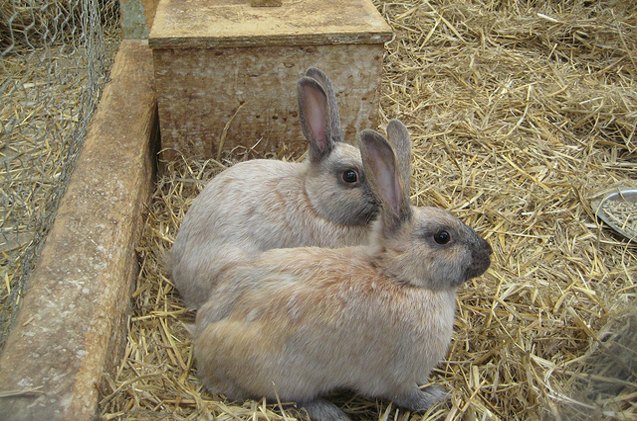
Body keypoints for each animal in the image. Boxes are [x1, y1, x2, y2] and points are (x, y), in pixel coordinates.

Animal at [194, 119, 492, 420]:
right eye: (442, 237)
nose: (487, 253)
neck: (398, 277)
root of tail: (203, 350)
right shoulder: (398, 379)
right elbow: (409, 396)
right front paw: (438, 397)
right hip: (284, 379)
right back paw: (331, 411)